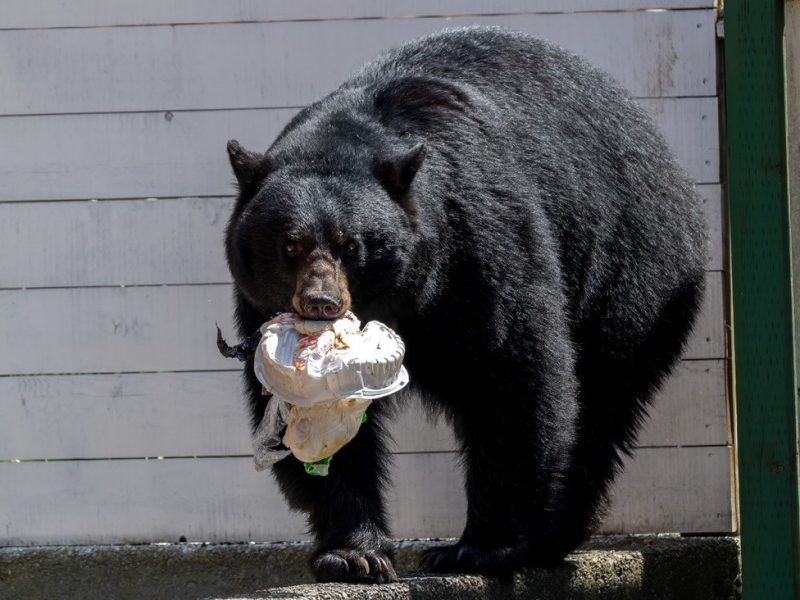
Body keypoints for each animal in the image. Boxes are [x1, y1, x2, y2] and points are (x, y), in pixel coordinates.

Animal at [222, 26, 707, 583]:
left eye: (352, 245)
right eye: (290, 246)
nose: (321, 302)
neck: (407, 298)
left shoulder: (479, 246)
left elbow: (513, 376)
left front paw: (478, 547)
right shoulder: (259, 310)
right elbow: (312, 419)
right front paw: (354, 554)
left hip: (629, 278)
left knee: (600, 405)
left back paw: (551, 536)